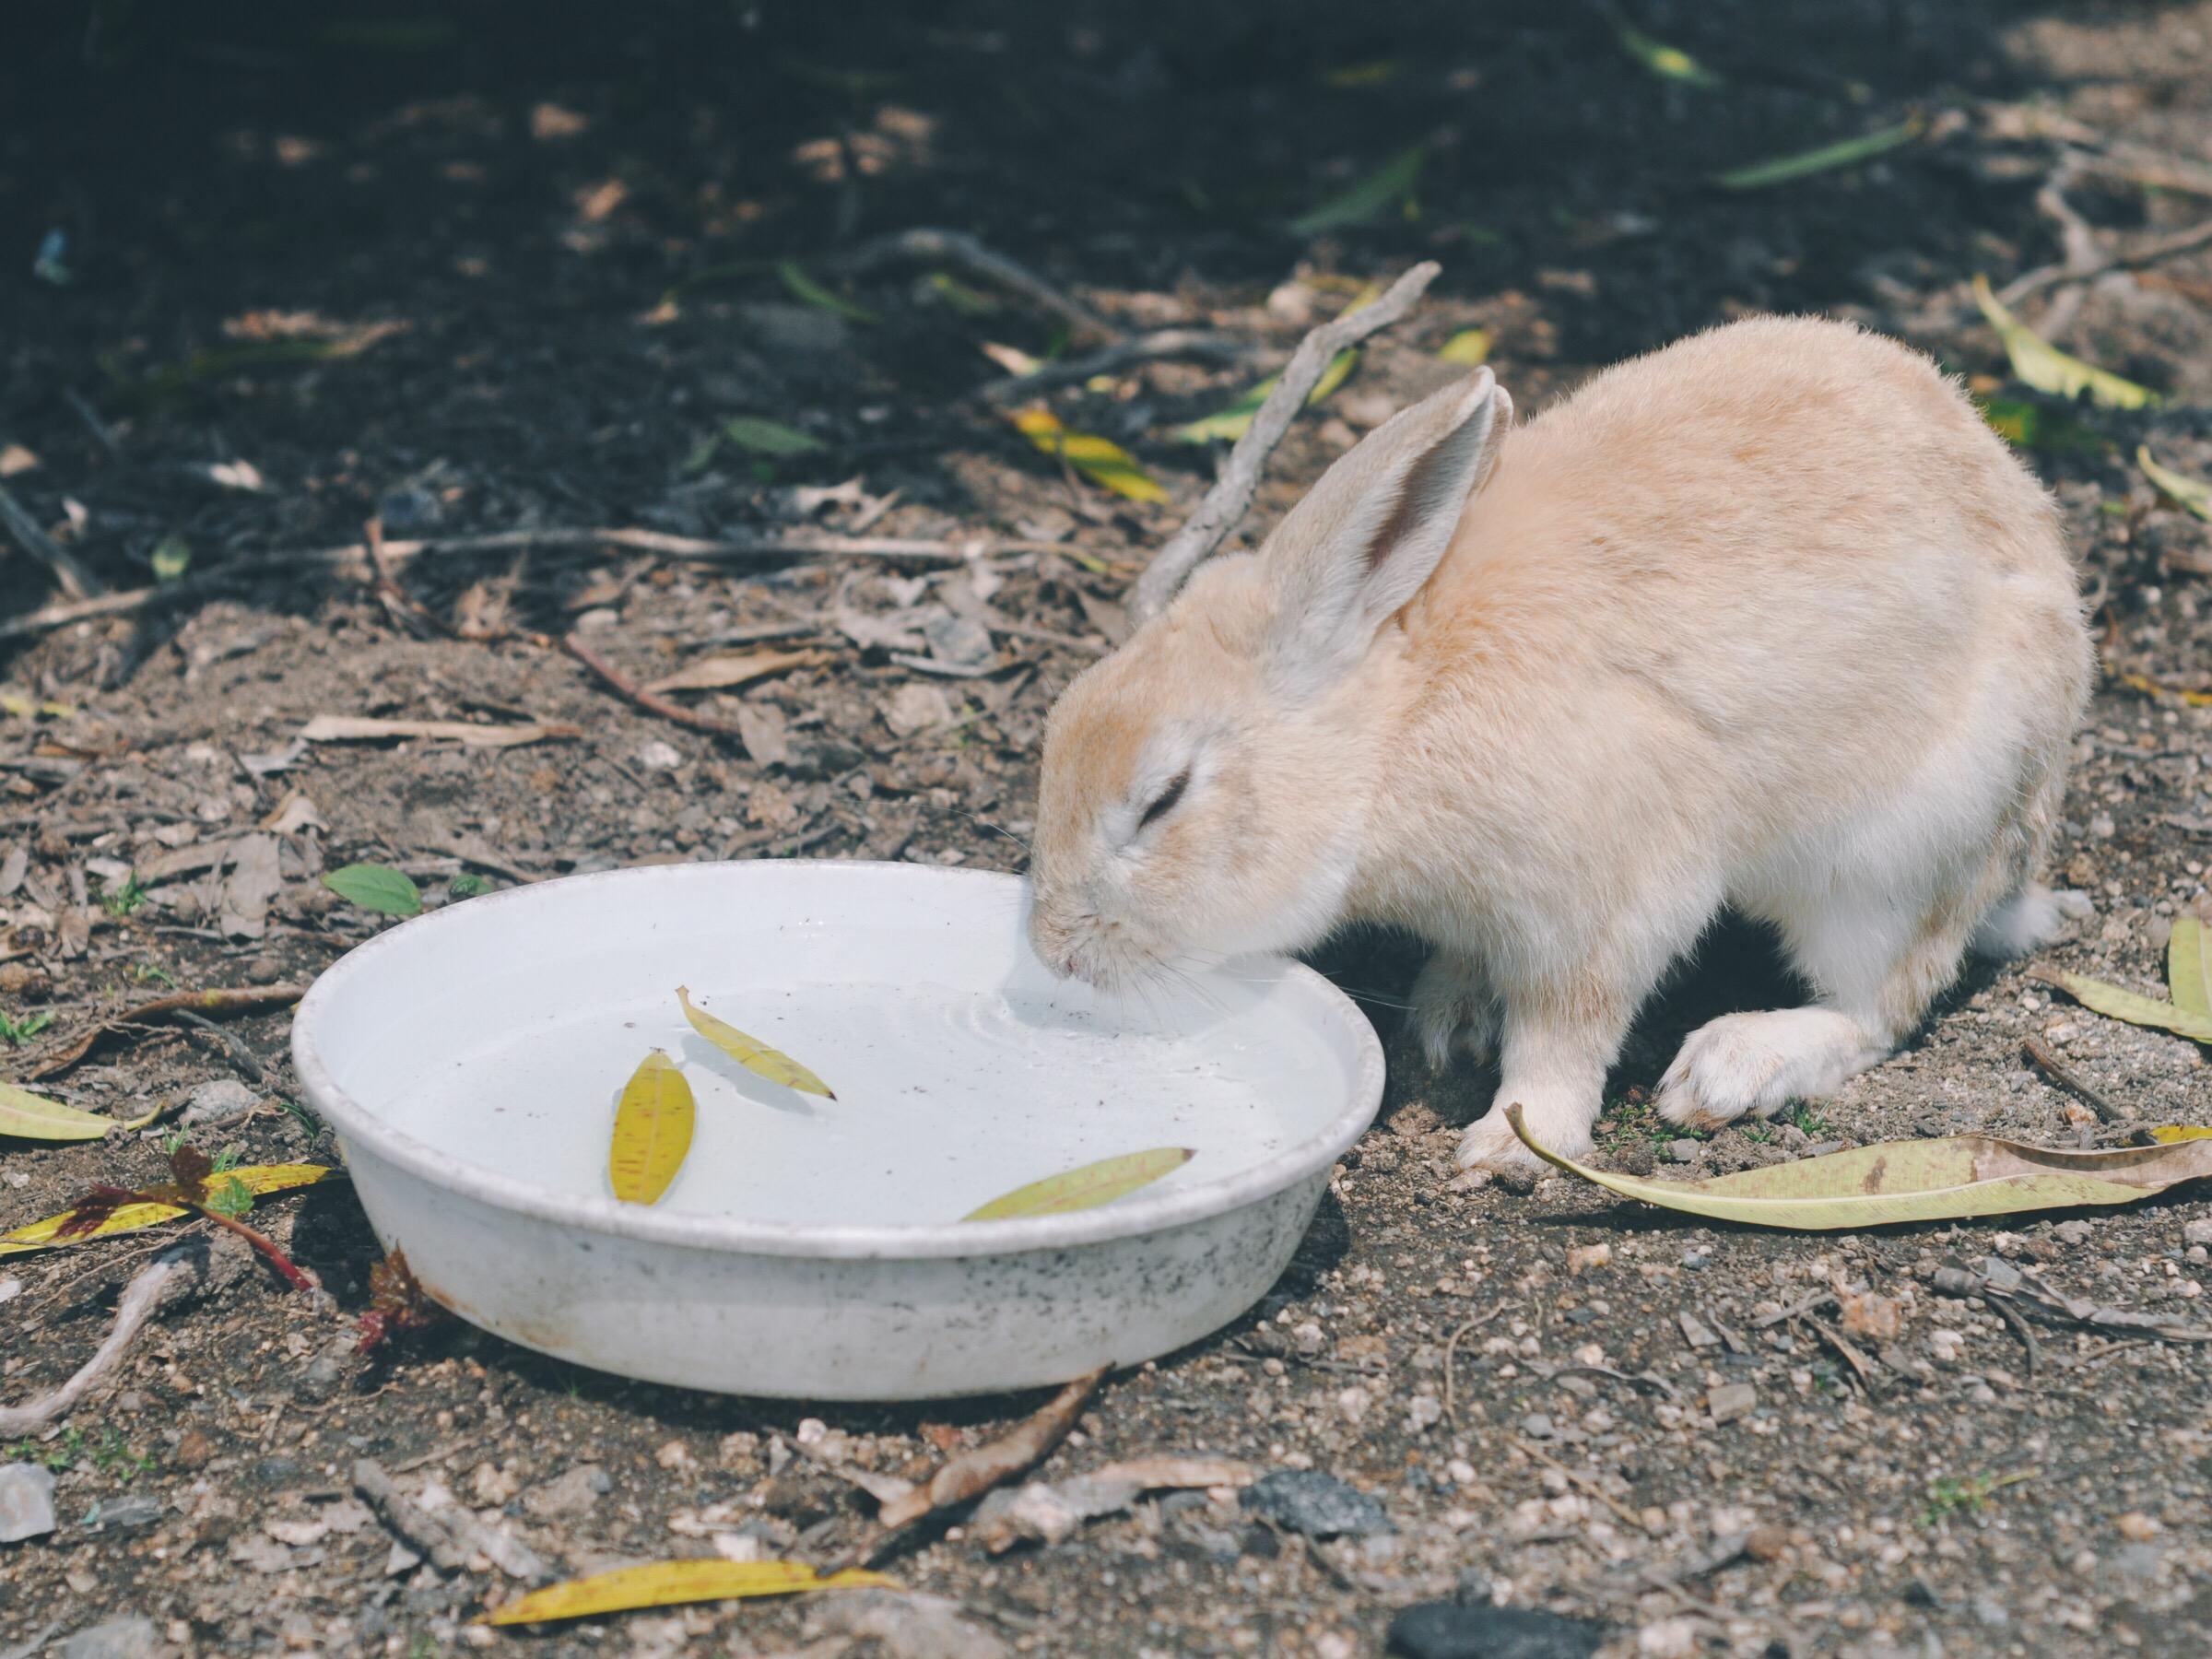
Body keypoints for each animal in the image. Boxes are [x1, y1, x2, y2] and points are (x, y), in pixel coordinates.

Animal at [1021, 321, 2088, 1185]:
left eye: (1164, 798)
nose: (1055, 950)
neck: (1392, 731)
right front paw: (1449, 1017)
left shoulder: (1604, 906)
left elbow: (1566, 1038)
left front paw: (1510, 1144)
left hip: (1894, 861)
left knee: (1879, 1007)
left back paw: (1732, 1066)